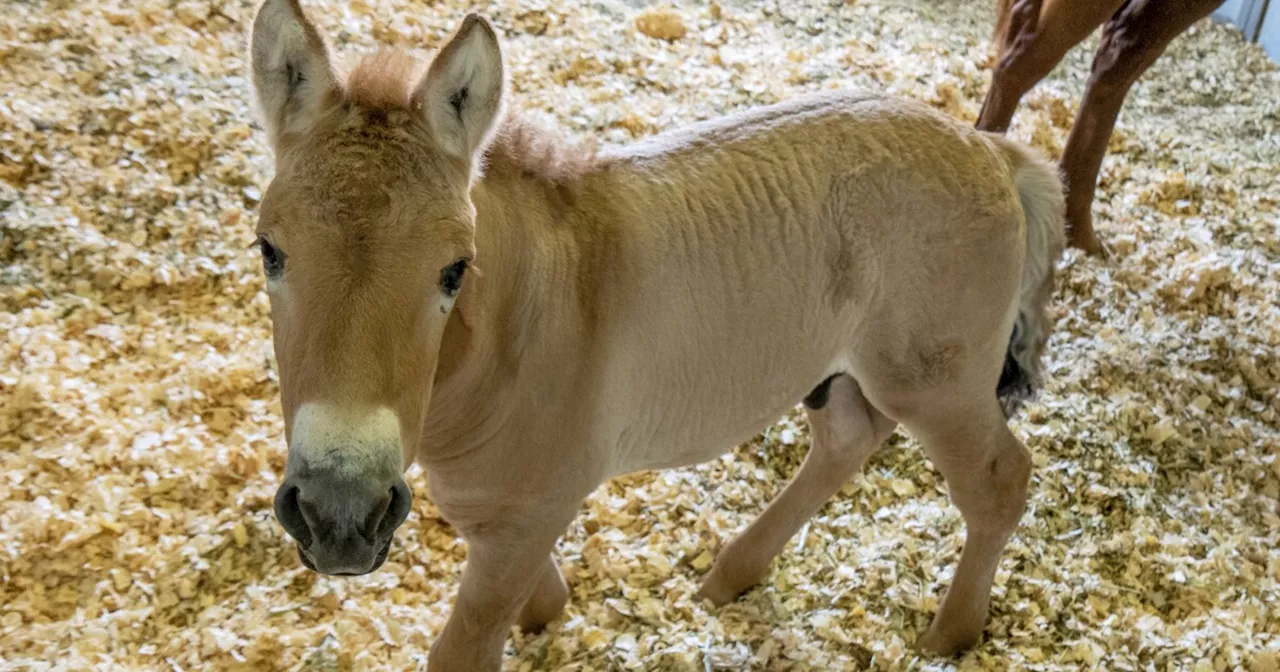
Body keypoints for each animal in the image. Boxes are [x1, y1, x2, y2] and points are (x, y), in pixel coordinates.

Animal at [244, 2, 1064, 665]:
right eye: (269, 249)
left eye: (454, 270)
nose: (338, 514)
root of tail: (991, 150)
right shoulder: (495, 507)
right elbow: (528, 587)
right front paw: (548, 617)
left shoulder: (528, 514)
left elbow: (466, 644)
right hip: (840, 371)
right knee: (848, 439)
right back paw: (733, 574)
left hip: (936, 382)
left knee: (999, 479)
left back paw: (950, 634)